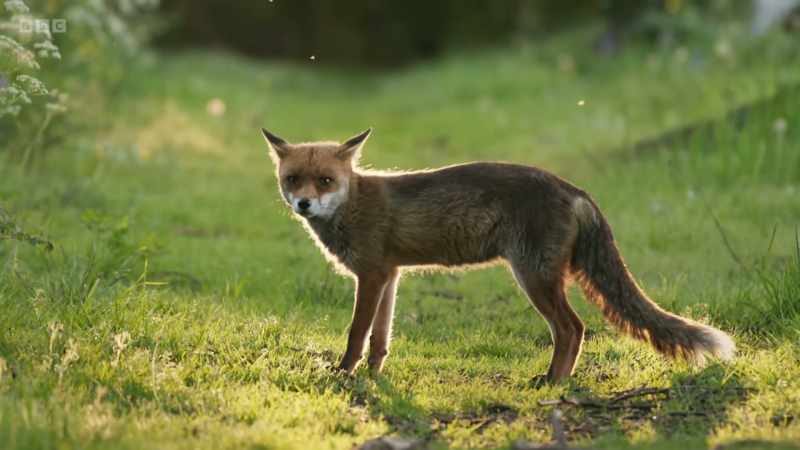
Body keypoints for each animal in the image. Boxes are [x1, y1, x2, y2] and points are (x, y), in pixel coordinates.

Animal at [260, 127, 735, 382]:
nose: (303, 204)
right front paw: (375, 374)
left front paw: (345, 373)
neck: (354, 204)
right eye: (293, 179)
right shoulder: (389, 274)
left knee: (573, 328)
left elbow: (356, 334)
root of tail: (573, 189)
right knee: (573, 330)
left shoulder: (372, 276)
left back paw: (553, 382)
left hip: (534, 278)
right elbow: (380, 337)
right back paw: (557, 380)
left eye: (325, 180)